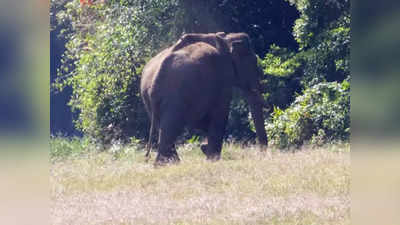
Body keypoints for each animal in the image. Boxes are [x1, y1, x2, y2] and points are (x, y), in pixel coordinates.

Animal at [141, 32, 268, 165]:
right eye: (253, 62)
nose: (262, 155)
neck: (225, 39)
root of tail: (155, 79)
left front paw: (205, 149)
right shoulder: (223, 76)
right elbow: (220, 114)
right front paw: (212, 159)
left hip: (149, 98)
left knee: (163, 126)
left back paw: (171, 162)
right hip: (175, 95)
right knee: (170, 126)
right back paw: (166, 164)